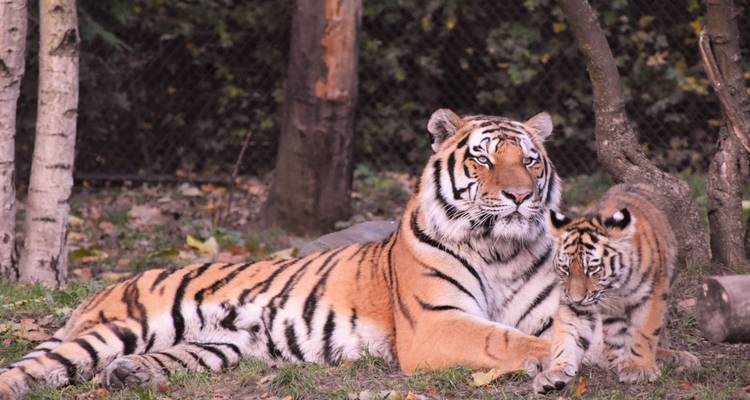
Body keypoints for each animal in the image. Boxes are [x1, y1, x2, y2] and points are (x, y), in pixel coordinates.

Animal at [0, 108, 562, 399]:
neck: (500, 250)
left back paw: (128, 374)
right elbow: (506, 341)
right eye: (482, 159)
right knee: (36, 368)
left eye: (530, 161)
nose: (519, 196)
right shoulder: (435, 323)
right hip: (124, 326)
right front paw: (559, 362)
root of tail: (101, 290)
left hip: (217, 347)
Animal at [529, 184, 700, 394]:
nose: (577, 298)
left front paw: (639, 369)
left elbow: (643, 333)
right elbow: (567, 336)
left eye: (592, 269)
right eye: (566, 269)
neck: (614, 287)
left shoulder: (650, 296)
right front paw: (555, 373)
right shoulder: (575, 306)